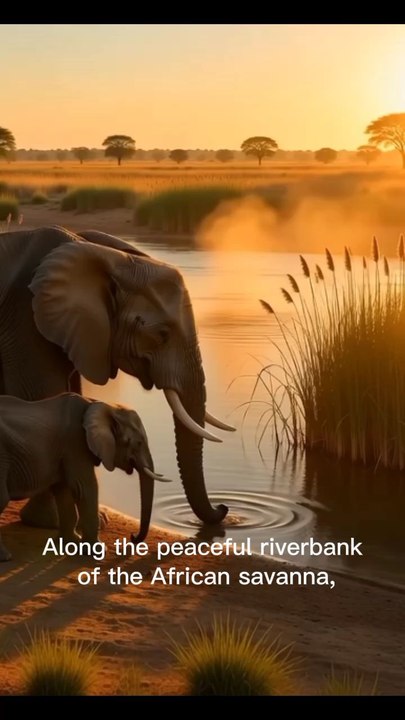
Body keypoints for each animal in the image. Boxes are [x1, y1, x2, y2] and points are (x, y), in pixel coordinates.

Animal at [0, 225, 235, 540]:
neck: (109, 259)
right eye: (161, 335)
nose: (223, 509)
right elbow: (43, 397)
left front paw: (95, 520)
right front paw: (47, 521)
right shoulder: (25, 319)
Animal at [0, 392, 170, 561]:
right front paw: (98, 551)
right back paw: (6, 557)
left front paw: (71, 543)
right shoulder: (75, 443)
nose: (132, 536)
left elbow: (64, 490)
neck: (101, 405)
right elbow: (85, 488)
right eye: (138, 443)